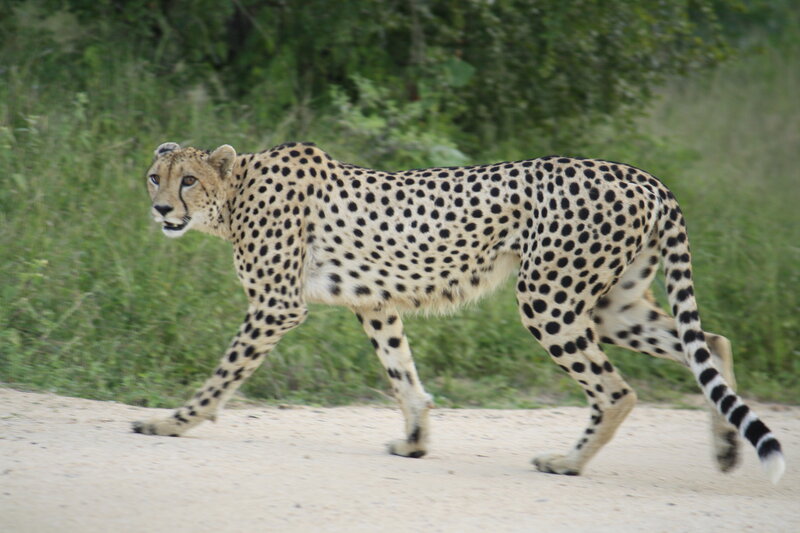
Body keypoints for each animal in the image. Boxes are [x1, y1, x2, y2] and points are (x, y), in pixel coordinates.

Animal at [133, 141, 785, 483]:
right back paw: (726, 449)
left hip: (548, 299)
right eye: (154, 177)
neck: (236, 192)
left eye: (187, 180)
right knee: (711, 342)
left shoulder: (276, 305)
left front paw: (172, 422)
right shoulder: (374, 303)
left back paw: (567, 461)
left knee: (618, 390)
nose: (161, 209)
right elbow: (403, 376)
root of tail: (644, 176)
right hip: (610, 306)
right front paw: (416, 442)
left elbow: (222, 375)